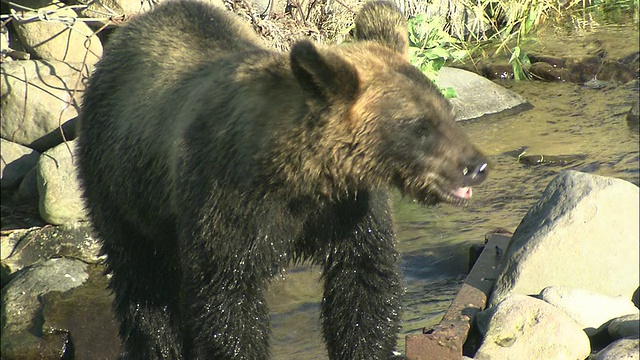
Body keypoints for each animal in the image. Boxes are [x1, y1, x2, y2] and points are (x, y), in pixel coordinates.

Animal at [76, 1, 484, 358]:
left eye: (446, 110)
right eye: (420, 127)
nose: (476, 165)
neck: (300, 177)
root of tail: (127, 32)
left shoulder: (349, 209)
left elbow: (364, 283)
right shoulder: (227, 202)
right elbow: (228, 300)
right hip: (120, 188)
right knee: (142, 284)